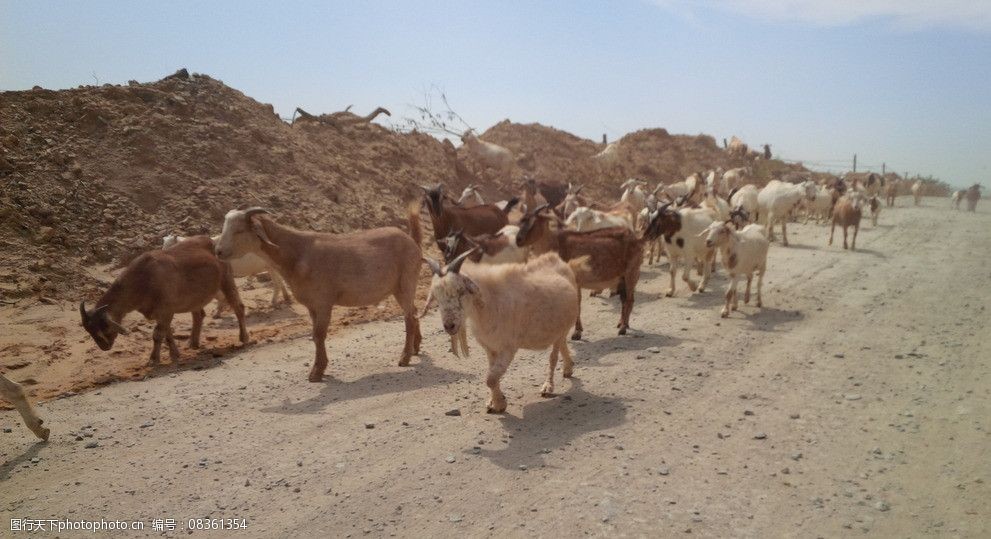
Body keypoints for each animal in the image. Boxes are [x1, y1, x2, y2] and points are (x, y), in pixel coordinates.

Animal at [81, 238, 248, 364]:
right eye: (89, 330)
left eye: (104, 328)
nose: (104, 346)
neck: (143, 280)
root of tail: (214, 243)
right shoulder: (162, 313)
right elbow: (167, 333)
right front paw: (175, 354)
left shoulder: (165, 310)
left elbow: (157, 335)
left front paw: (153, 360)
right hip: (195, 298)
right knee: (199, 315)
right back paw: (193, 343)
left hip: (226, 279)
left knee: (238, 306)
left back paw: (244, 338)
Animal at [216, 204, 422, 384]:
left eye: (239, 230)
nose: (218, 252)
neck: (295, 254)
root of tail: (411, 241)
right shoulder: (312, 305)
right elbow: (315, 336)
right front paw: (319, 369)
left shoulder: (323, 302)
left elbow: (319, 335)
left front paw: (316, 372)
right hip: (399, 287)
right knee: (414, 311)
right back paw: (416, 347)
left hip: (406, 282)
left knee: (409, 318)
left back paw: (405, 357)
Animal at [424, 252, 580, 414]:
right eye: (436, 297)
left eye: (461, 291)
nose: (450, 325)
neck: (488, 305)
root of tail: (557, 259)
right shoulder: (490, 347)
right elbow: (492, 375)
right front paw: (494, 402)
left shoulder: (508, 348)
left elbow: (490, 379)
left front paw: (500, 404)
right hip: (558, 330)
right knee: (563, 344)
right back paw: (568, 368)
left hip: (561, 329)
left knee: (553, 357)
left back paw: (548, 386)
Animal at [512, 205, 668, 340]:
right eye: (522, 221)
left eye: (533, 222)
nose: (518, 240)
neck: (556, 243)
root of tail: (637, 239)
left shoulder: (574, 280)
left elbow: (576, 304)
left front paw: (576, 333)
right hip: (623, 277)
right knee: (626, 299)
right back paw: (623, 323)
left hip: (632, 272)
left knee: (629, 300)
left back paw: (623, 328)